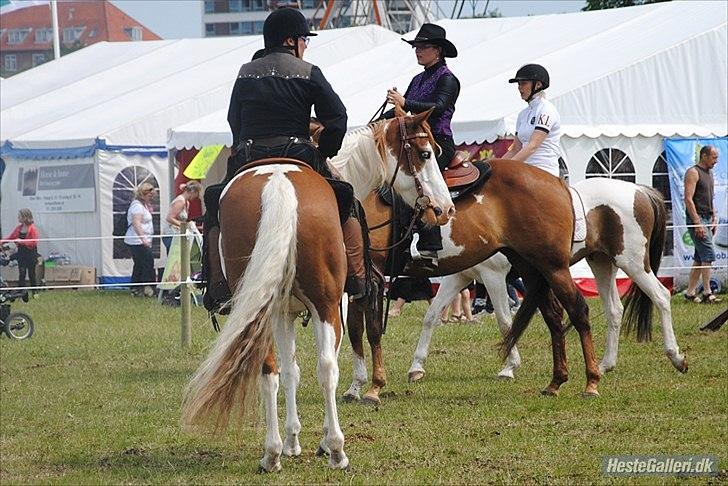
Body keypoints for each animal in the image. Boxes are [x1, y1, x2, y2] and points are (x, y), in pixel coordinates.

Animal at [181, 109, 456, 470]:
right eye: (425, 154)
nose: (446, 209)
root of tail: (279, 186)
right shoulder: (343, 299)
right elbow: (344, 346)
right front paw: (326, 433)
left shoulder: (282, 312)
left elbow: (290, 371)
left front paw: (292, 441)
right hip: (325, 304)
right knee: (326, 367)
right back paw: (335, 449)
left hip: (261, 310)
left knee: (269, 369)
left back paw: (272, 454)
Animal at [410, 177, 688, 392]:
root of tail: (640, 190)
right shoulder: (459, 277)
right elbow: (431, 316)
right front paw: (416, 367)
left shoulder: (493, 277)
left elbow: (504, 321)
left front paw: (509, 367)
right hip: (602, 263)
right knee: (614, 310)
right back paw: (604, 364)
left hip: (632, 263)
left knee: (661, 296)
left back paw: (675, 356)